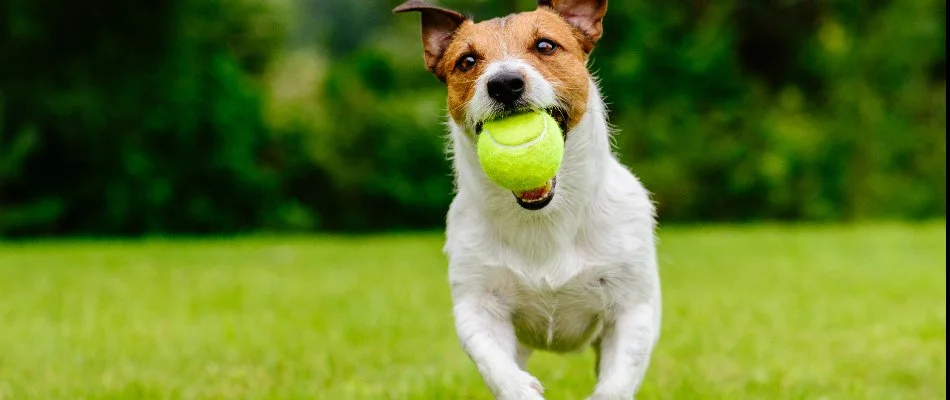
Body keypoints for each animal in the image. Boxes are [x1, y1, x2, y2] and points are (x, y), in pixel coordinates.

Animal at [394, 1, 660, 398]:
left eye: (546, 45)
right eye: (467, 61)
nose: (504, 83)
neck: (544, 217)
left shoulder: (633, 308)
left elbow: (616, 381)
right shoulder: (478, 305)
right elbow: (495, 364)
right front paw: (521, 388)